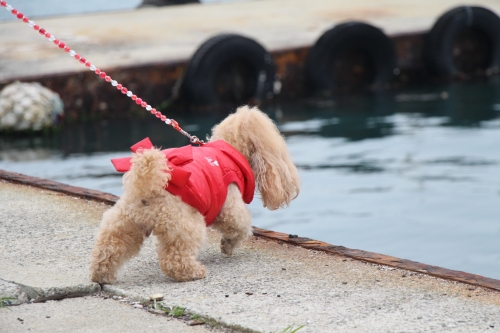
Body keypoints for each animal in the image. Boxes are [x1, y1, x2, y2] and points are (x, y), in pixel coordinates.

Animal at [89, 105, 300, 282]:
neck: (229, 150)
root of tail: (147, 185)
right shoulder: (230, 209)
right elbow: (239, 228)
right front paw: (228, 245)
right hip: (185, 225)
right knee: (174, 260)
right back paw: (194, 272)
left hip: (124, 222)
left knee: (107, 248)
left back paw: (101, 275)